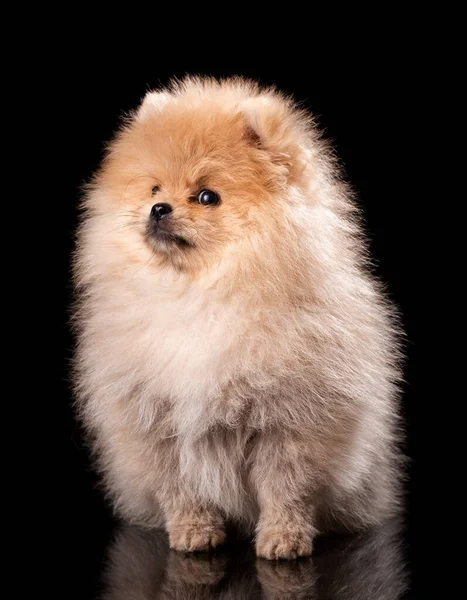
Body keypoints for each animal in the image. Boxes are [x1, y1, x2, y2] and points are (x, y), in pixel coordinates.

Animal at [73, 77, 402, 560]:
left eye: (207, 196)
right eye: (153, 189)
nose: (159, 209)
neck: (199, 295)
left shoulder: (291, 421)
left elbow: (286, 487)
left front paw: (283, 538)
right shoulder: (153, 422)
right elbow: (179, 488)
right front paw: (193, 530)